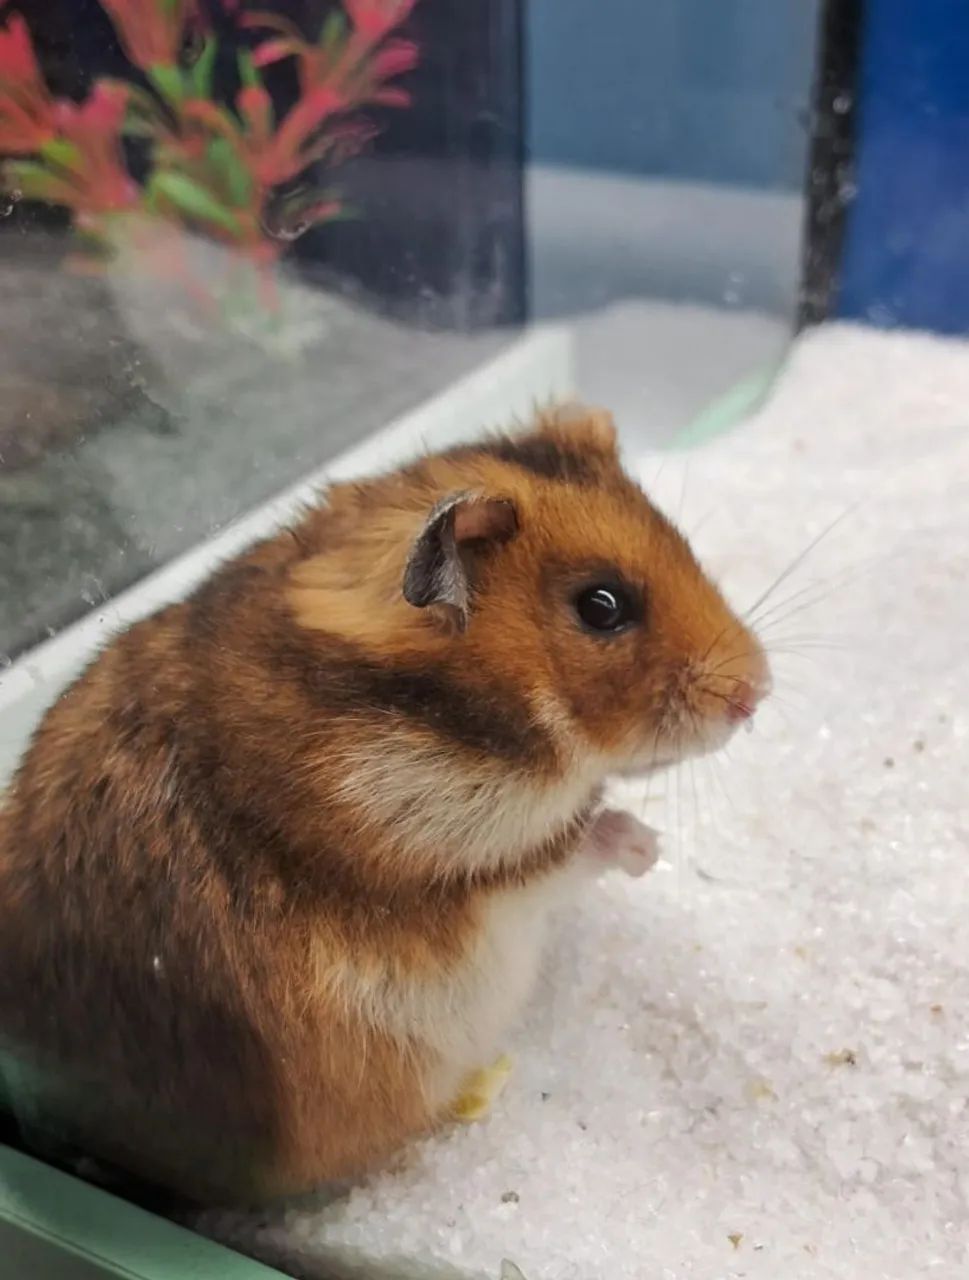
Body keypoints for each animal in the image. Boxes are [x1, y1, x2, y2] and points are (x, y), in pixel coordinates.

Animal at [0, 406, 768, 1205]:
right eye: (601, 606)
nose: (757, 691)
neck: (456, 720)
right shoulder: (476, 870)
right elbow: (575, 850)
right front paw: (648, 847)